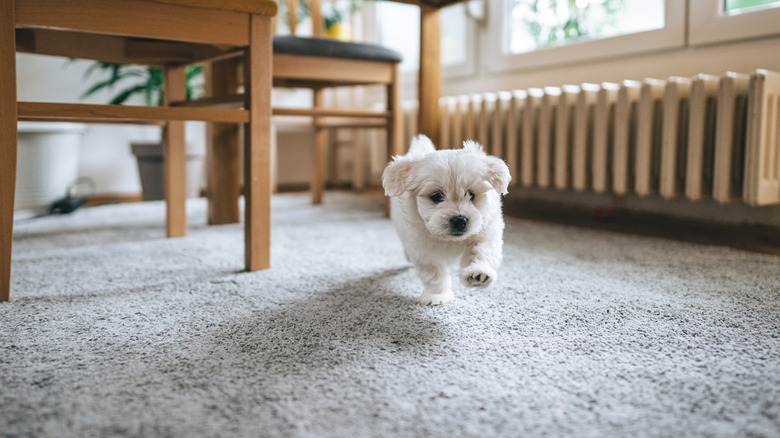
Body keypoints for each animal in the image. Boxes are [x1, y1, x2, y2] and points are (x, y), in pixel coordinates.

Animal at [382, 134, 512, 304]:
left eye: (471, 195)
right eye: (436, 196)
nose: (460, 220)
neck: (450, 240)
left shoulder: (486, 231)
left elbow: (481, 251)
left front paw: (478, 273)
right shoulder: (423, 249)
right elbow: (434, 274)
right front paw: (437, 296)